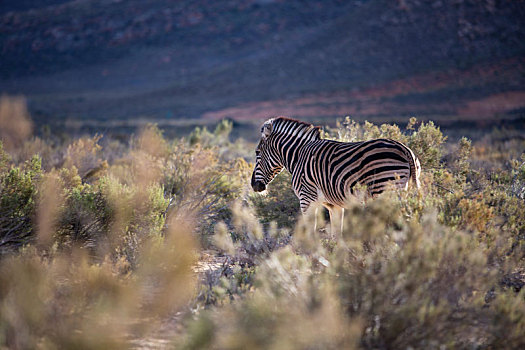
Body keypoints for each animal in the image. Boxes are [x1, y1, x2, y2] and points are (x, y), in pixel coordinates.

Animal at [251, 116, 422, 234]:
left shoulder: (306, 199)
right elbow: (336, 234)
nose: (254, 185)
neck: (299, 155)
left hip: (383, 190)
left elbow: (310, 232)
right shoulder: (334, 205)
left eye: (257, 153)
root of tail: (404, 148)